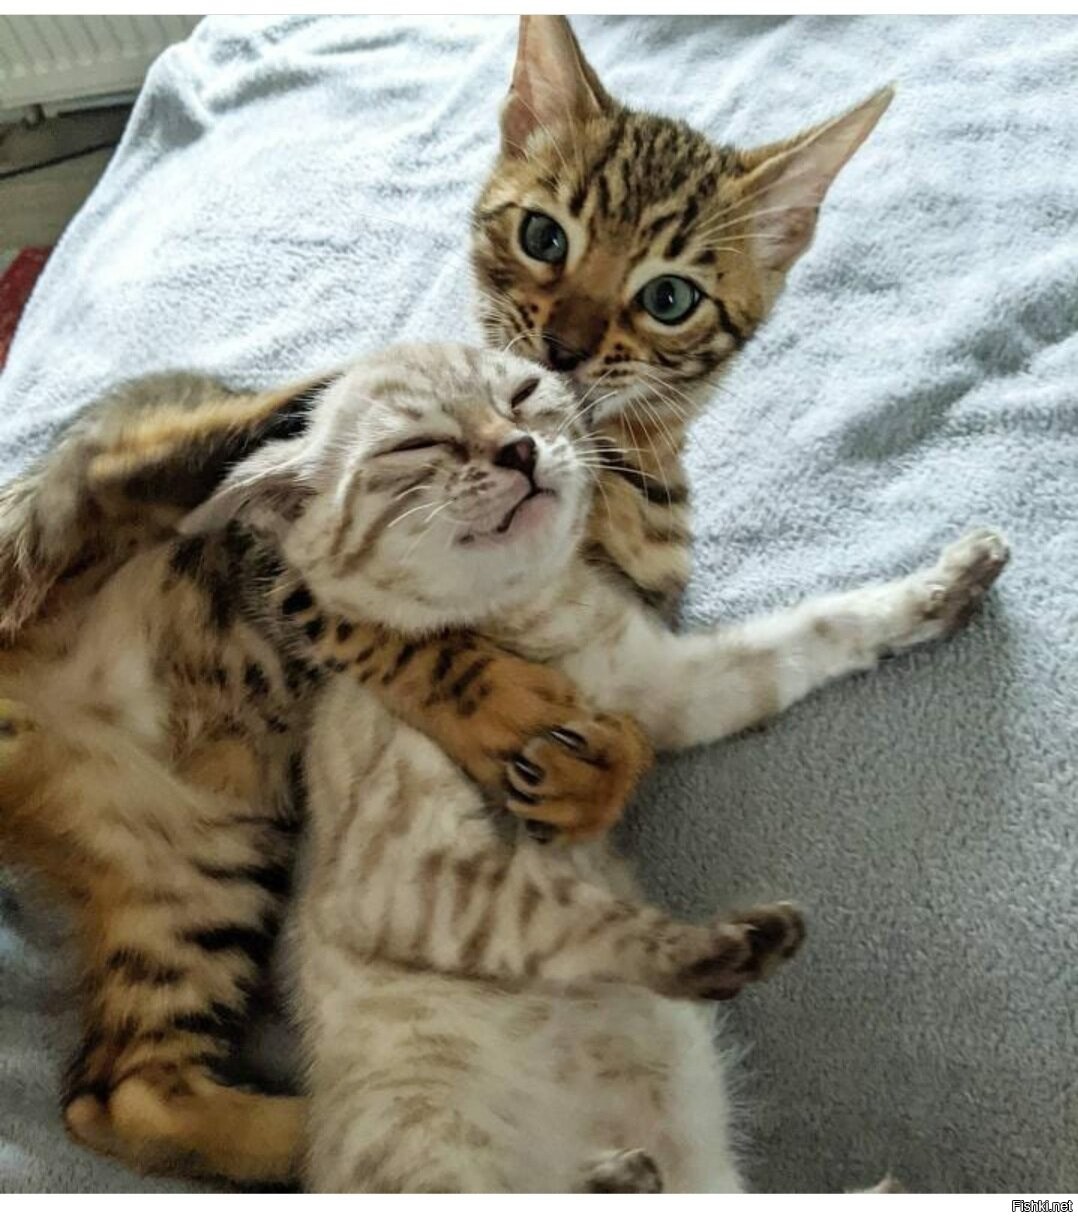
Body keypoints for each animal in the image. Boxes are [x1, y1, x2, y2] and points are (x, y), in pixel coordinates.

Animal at [178, 342, 998, 1191]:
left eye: (521, 397)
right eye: (418, 445)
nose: (517, 449)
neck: (538, 629)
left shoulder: (669, 690)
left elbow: (820, 629)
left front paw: (950, 584)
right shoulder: (407, 878)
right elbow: (578, 919)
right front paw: (728, 946)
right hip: (434, 1145)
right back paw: (620, 1175)